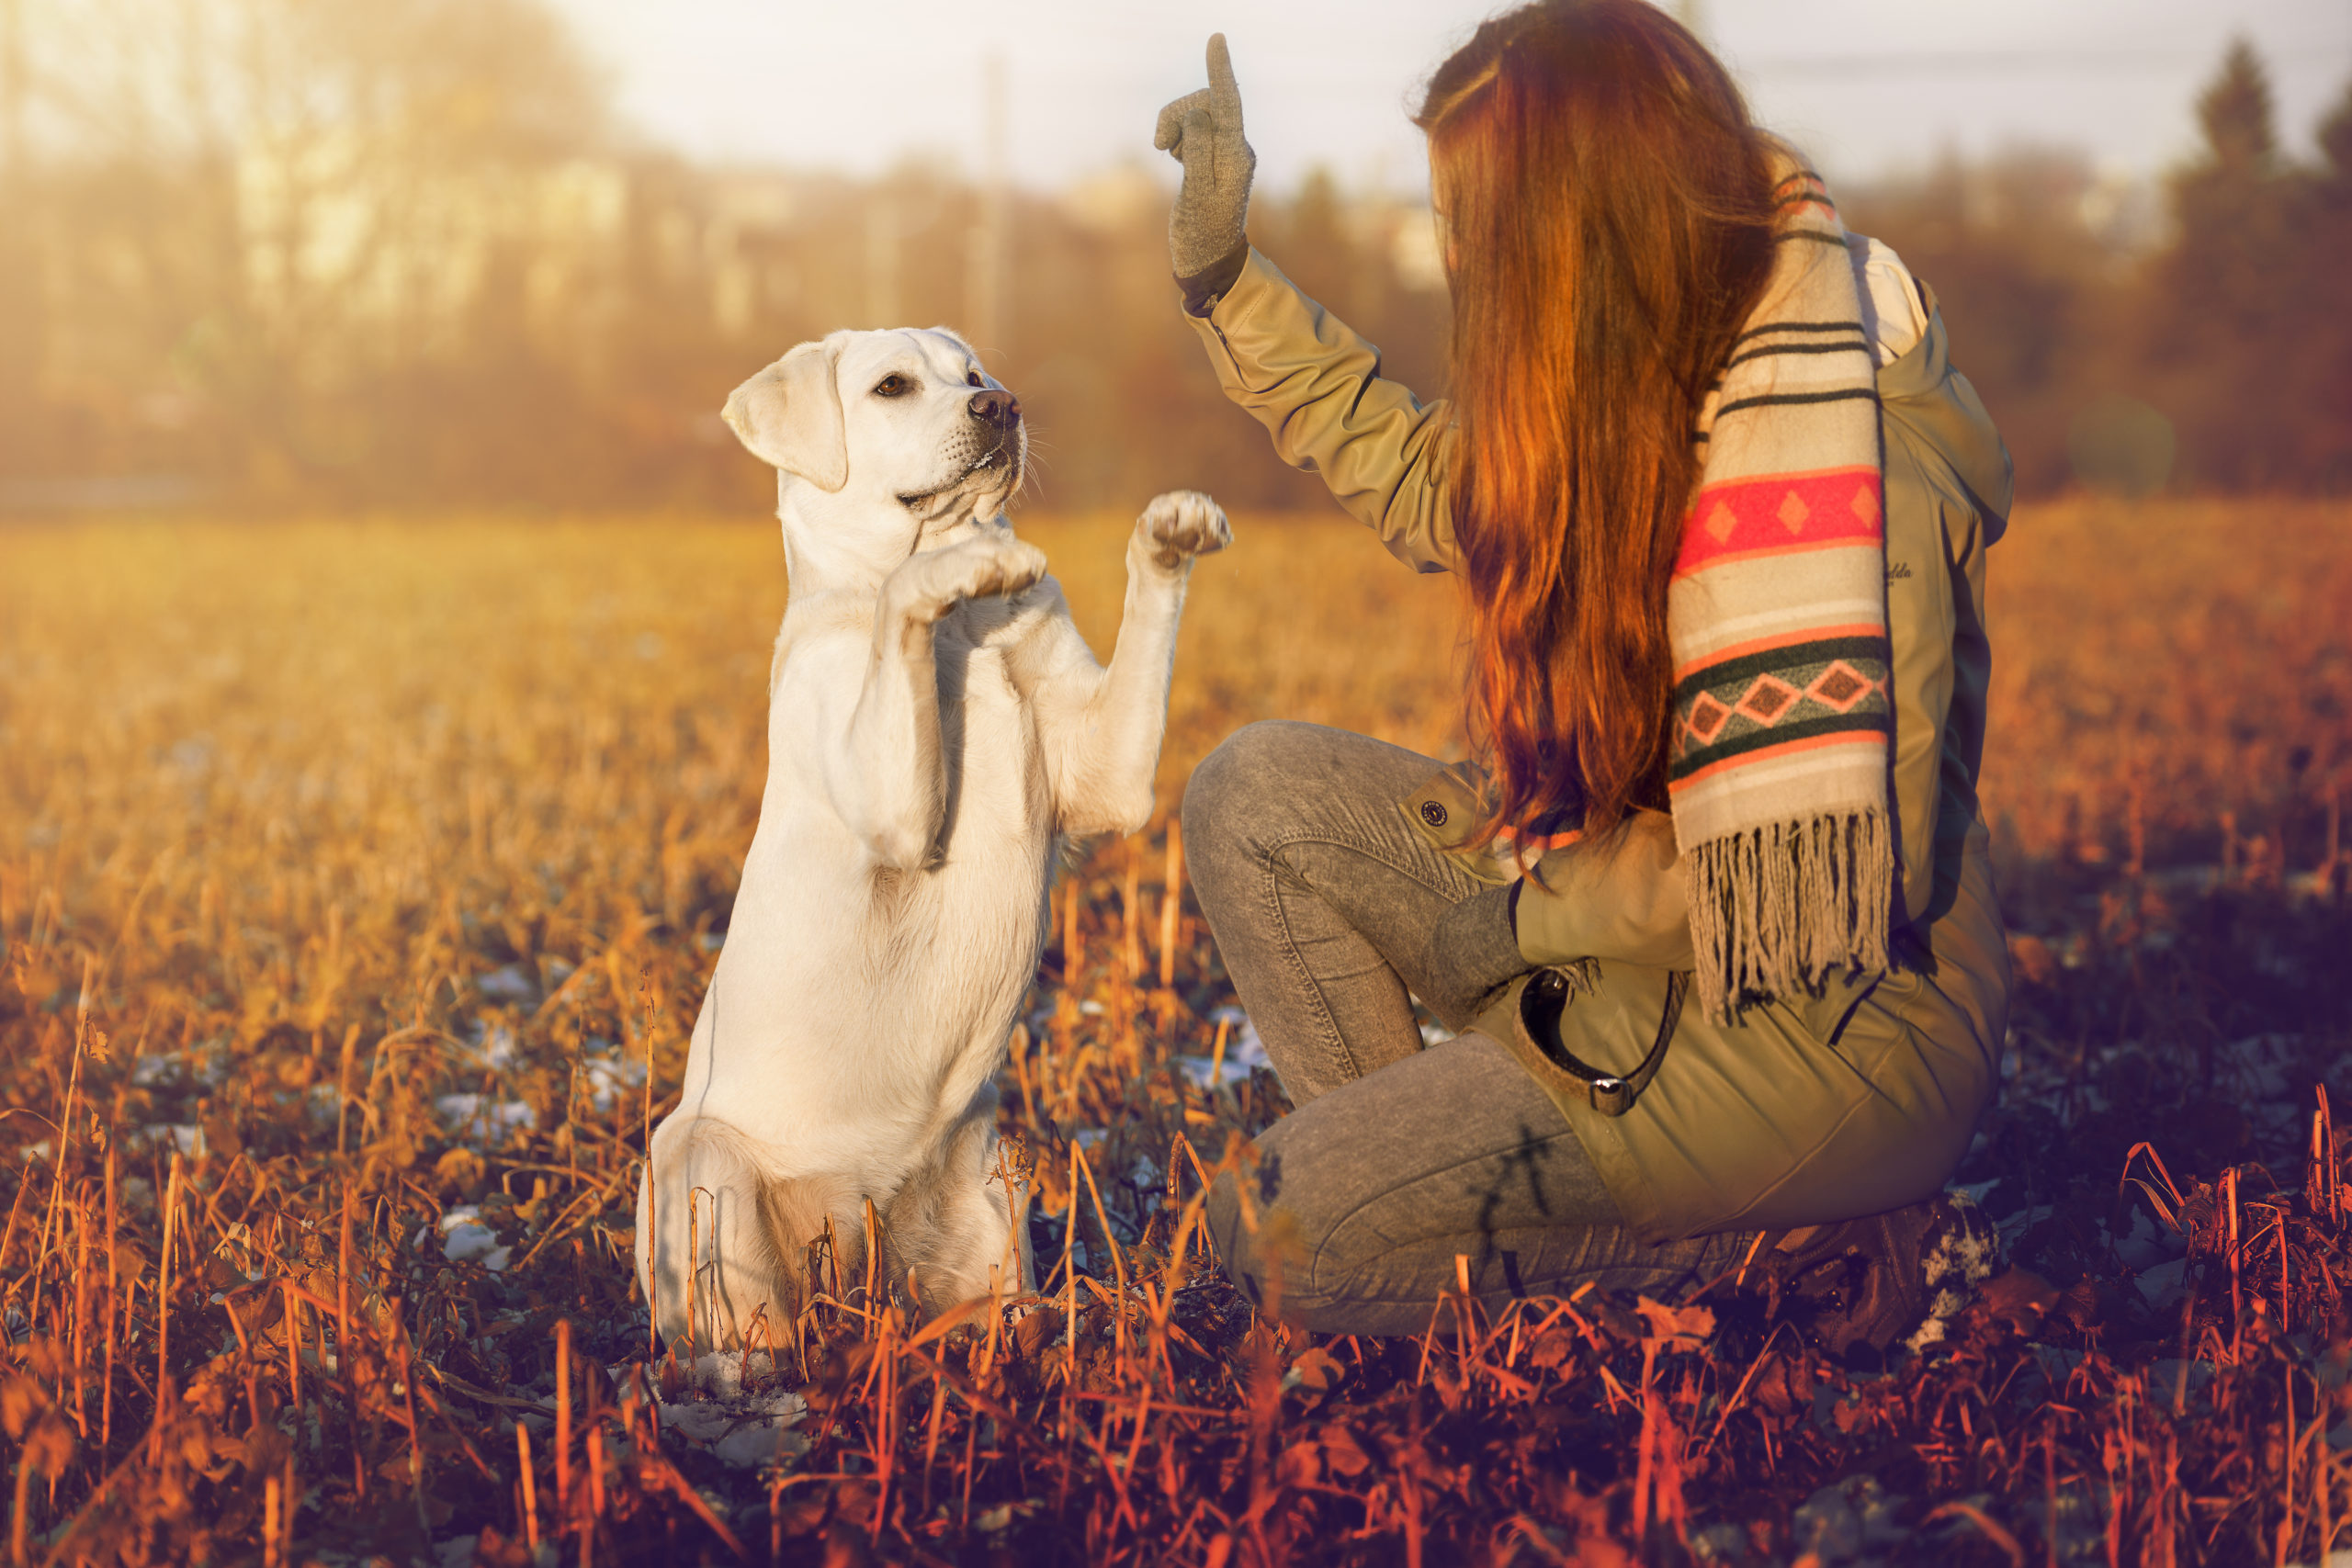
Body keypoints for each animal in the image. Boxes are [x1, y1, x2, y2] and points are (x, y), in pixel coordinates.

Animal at [635, 321, 1241, 1354]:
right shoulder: (894, 809)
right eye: (891, 387)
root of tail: (861, 1244)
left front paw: (1168, 530)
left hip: (994, 1200)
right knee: (741, 1343)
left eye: (975, 375)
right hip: (700, 1165)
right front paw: (952, 567)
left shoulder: (1106, 780)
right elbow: (899, 611)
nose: (1002, 406)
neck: (968, 638)